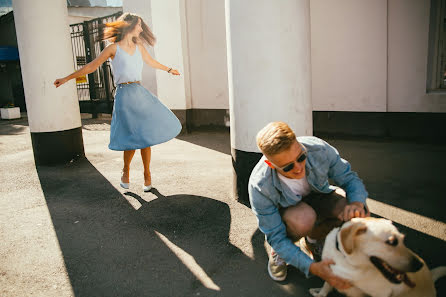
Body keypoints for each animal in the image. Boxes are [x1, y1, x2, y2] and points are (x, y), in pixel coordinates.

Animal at [310, 216, 446, 294]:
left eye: (403, 240)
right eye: (392, 242)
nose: (419, 265)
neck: (348, 262)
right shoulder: (330, 273)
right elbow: (325, 287)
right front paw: (320, 293)